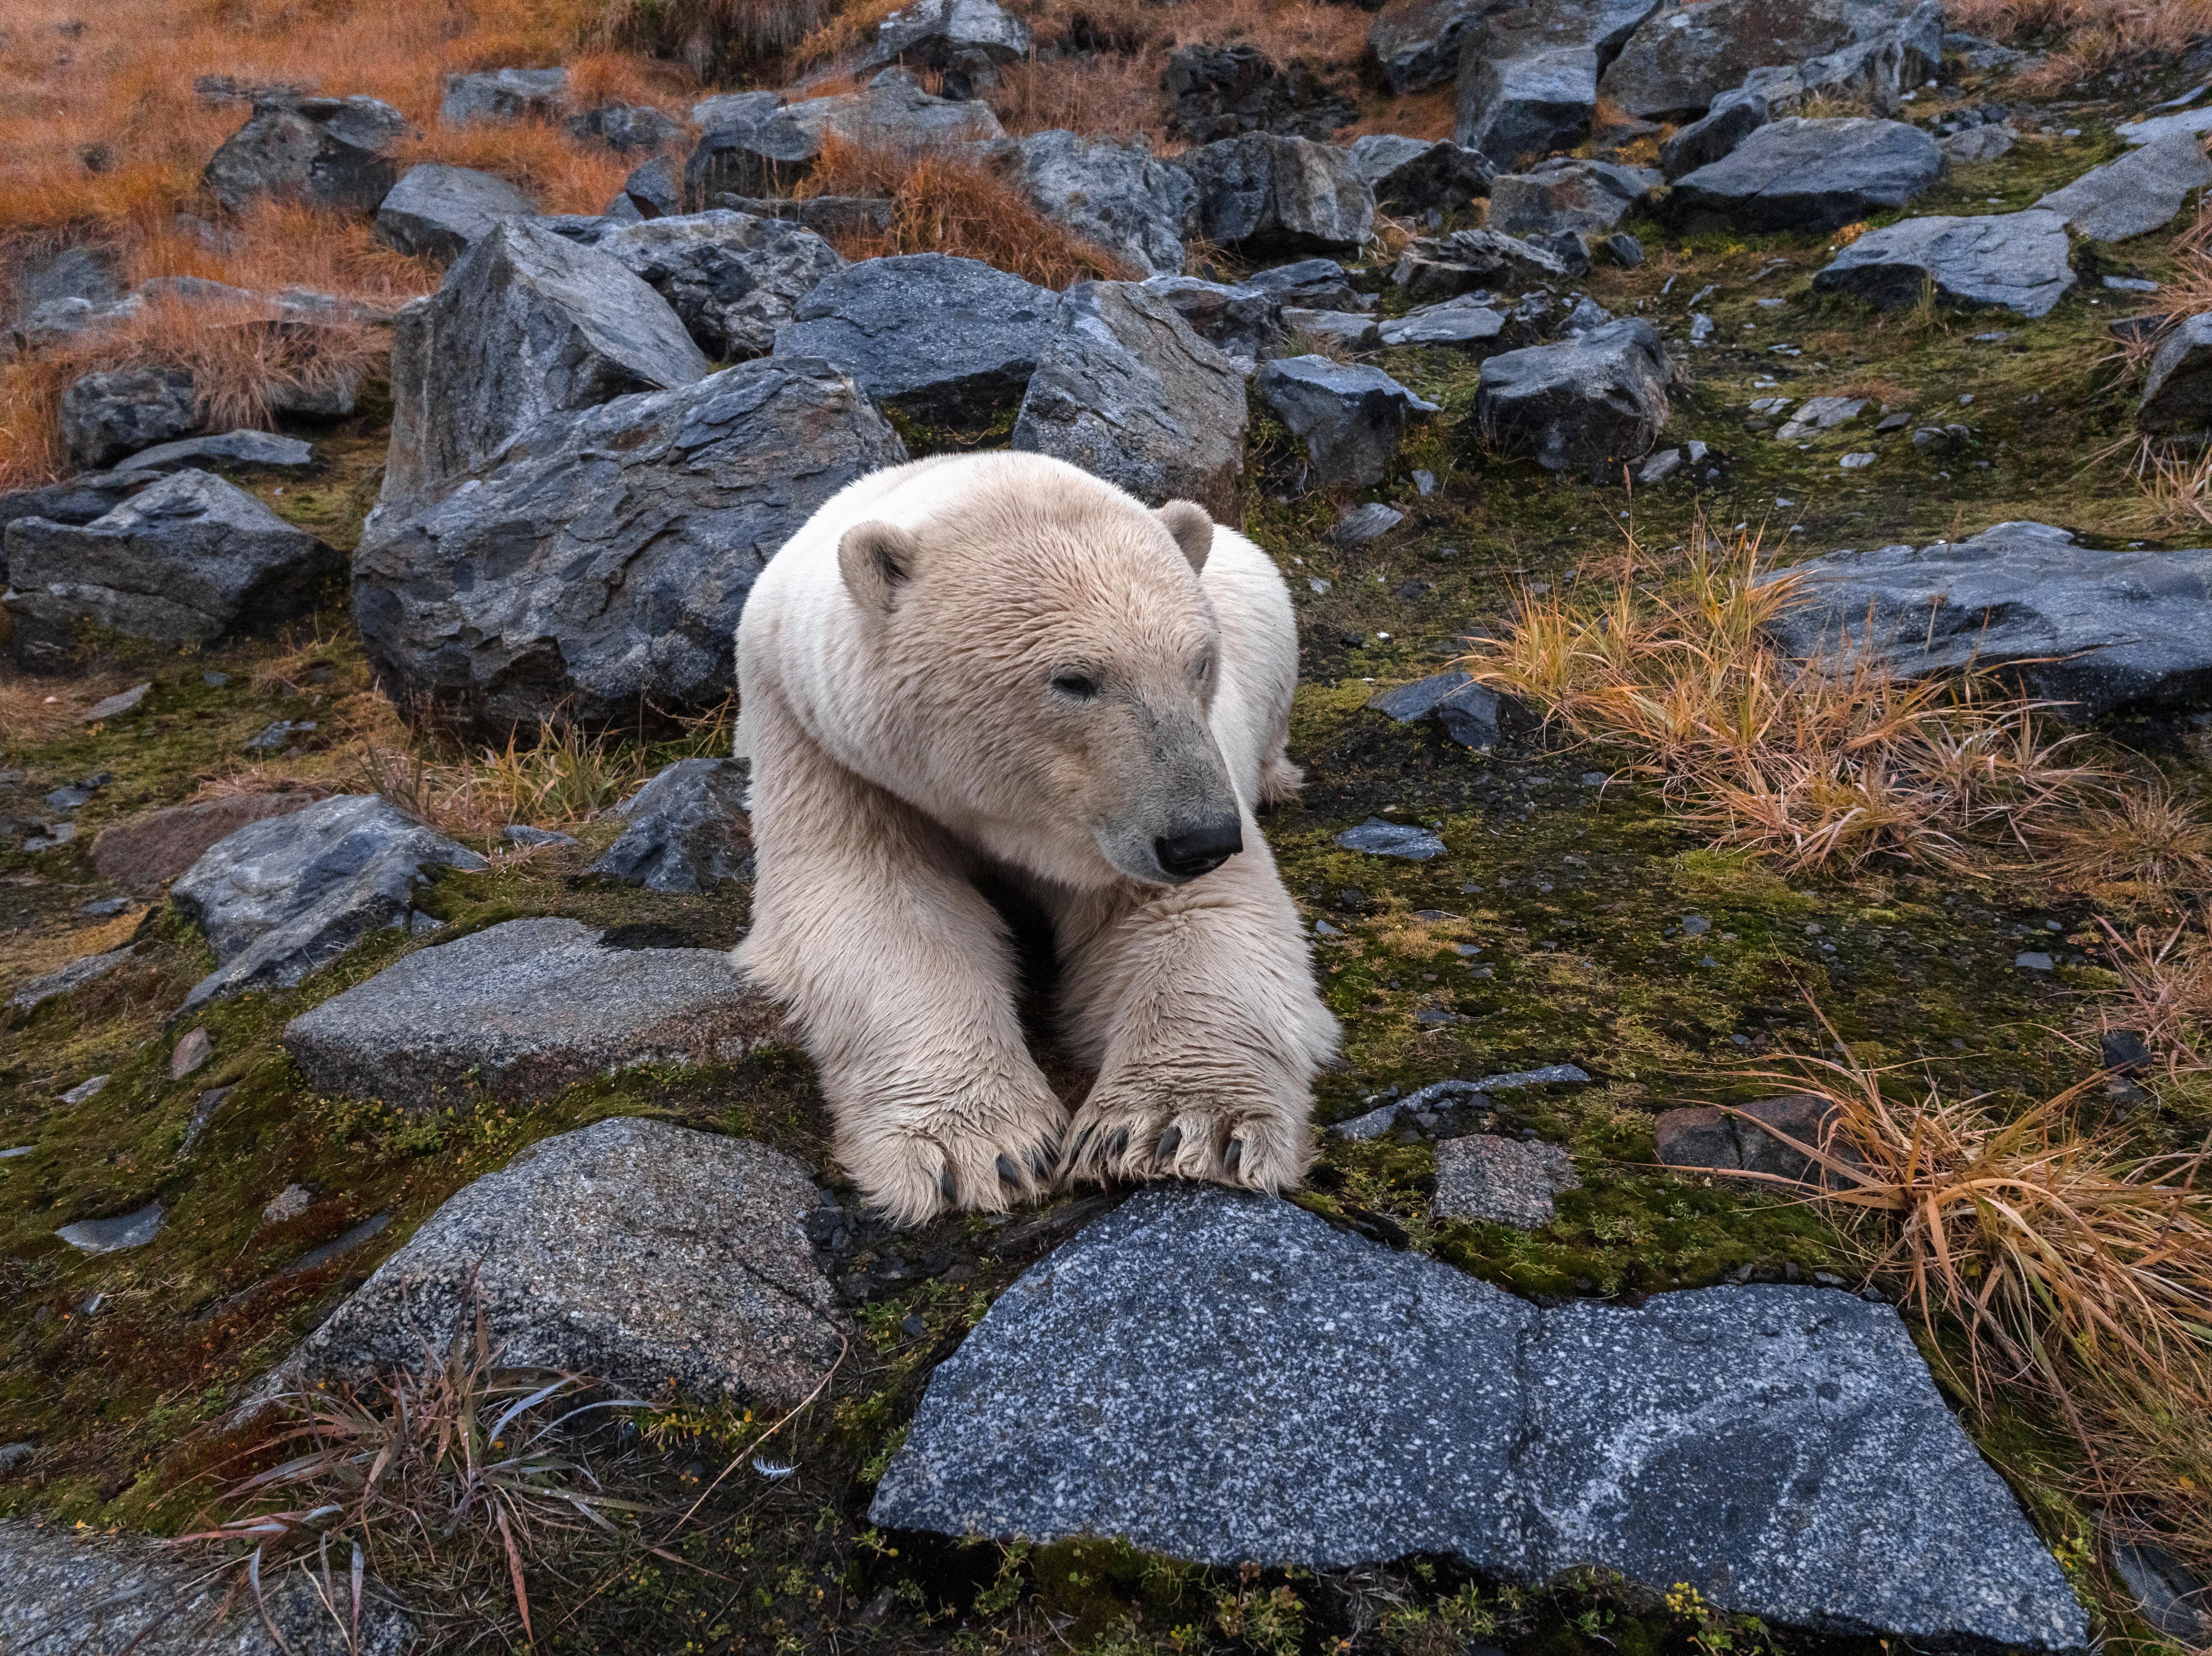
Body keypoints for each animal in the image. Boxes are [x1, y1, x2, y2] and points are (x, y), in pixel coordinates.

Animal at [733, 451, 1339, 1226]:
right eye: (1074, 679)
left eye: (1200, 662)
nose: (1200, 839)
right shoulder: (824, 741)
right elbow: (879, 905)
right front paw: (980, 1147)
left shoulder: (1139, 809)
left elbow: (1191, 915)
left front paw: (1180, 1126)